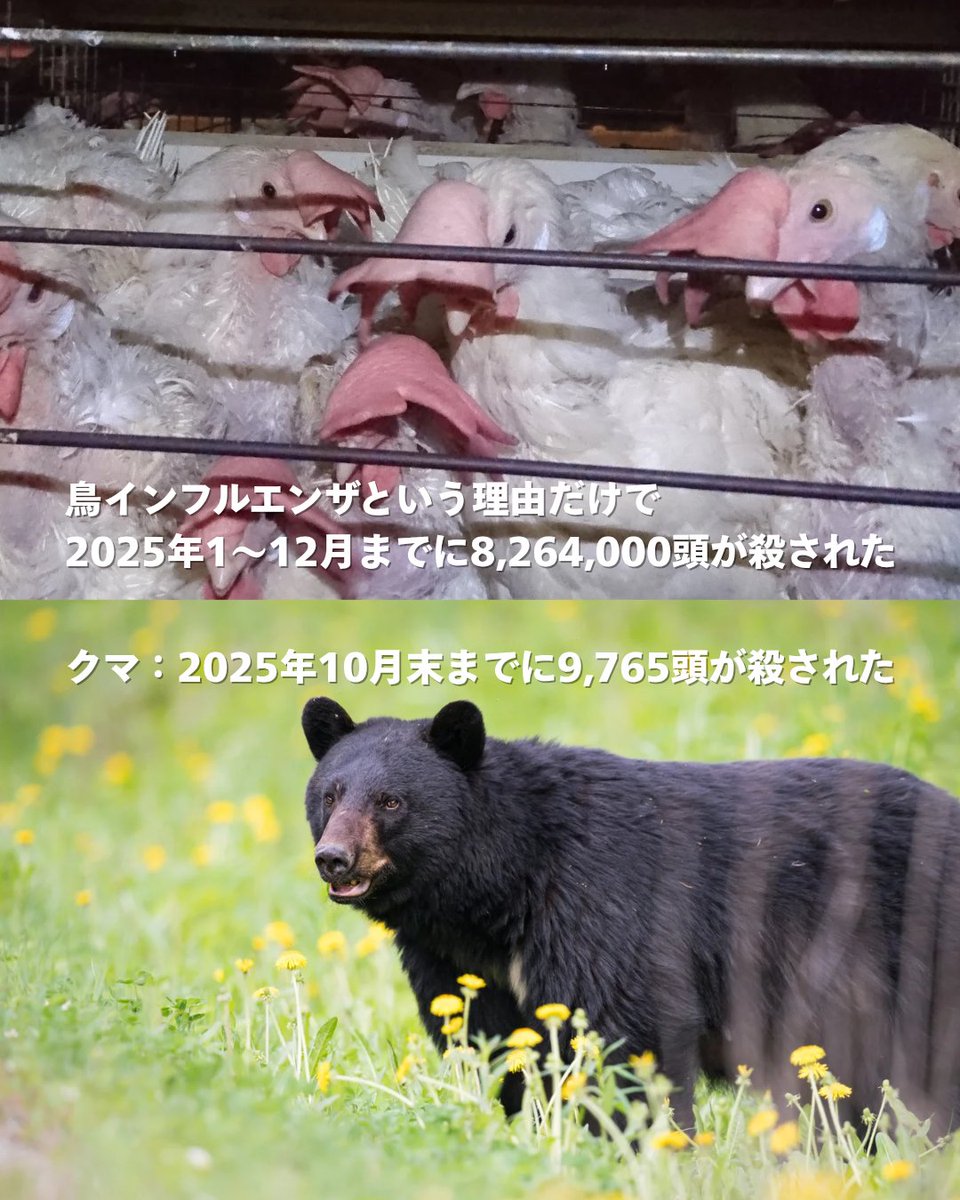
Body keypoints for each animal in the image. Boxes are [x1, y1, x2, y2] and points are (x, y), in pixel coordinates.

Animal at [301, 696, 960, 1135]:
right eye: (330, 795)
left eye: (391, 801)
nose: (333, 859)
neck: (501, 887)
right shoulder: (455, 958)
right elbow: (491, 1040)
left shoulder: (601, 900)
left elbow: (626, 1028)